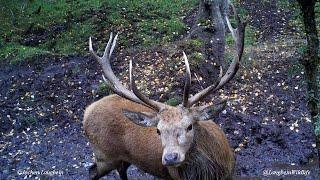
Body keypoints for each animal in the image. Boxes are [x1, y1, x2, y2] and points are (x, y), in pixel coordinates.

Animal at [84, 3, 246, 180]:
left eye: (189, 126)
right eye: (158, 130)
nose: (170, 158)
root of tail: (87, 111)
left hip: (120, 159)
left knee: (120, 170)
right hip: (104, 155)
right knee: (92, 171)